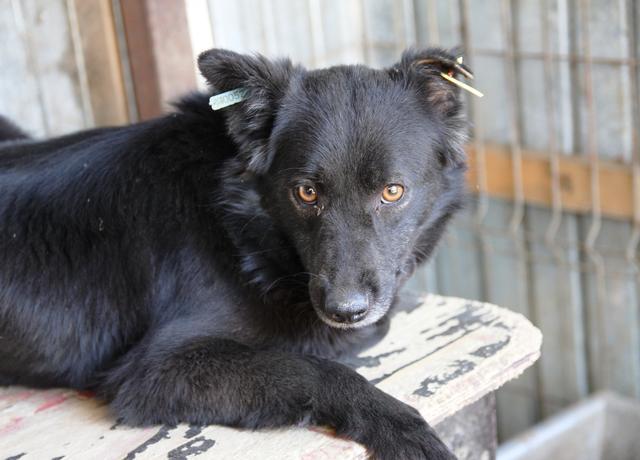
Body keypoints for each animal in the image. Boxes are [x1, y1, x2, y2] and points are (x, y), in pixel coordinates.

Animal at [1, 48, 470, 458]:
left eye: (392, 192)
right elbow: (309, 366)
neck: (233, 227)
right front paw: (400, 427)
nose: (345, 310)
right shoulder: (156, 370)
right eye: (306, 192)